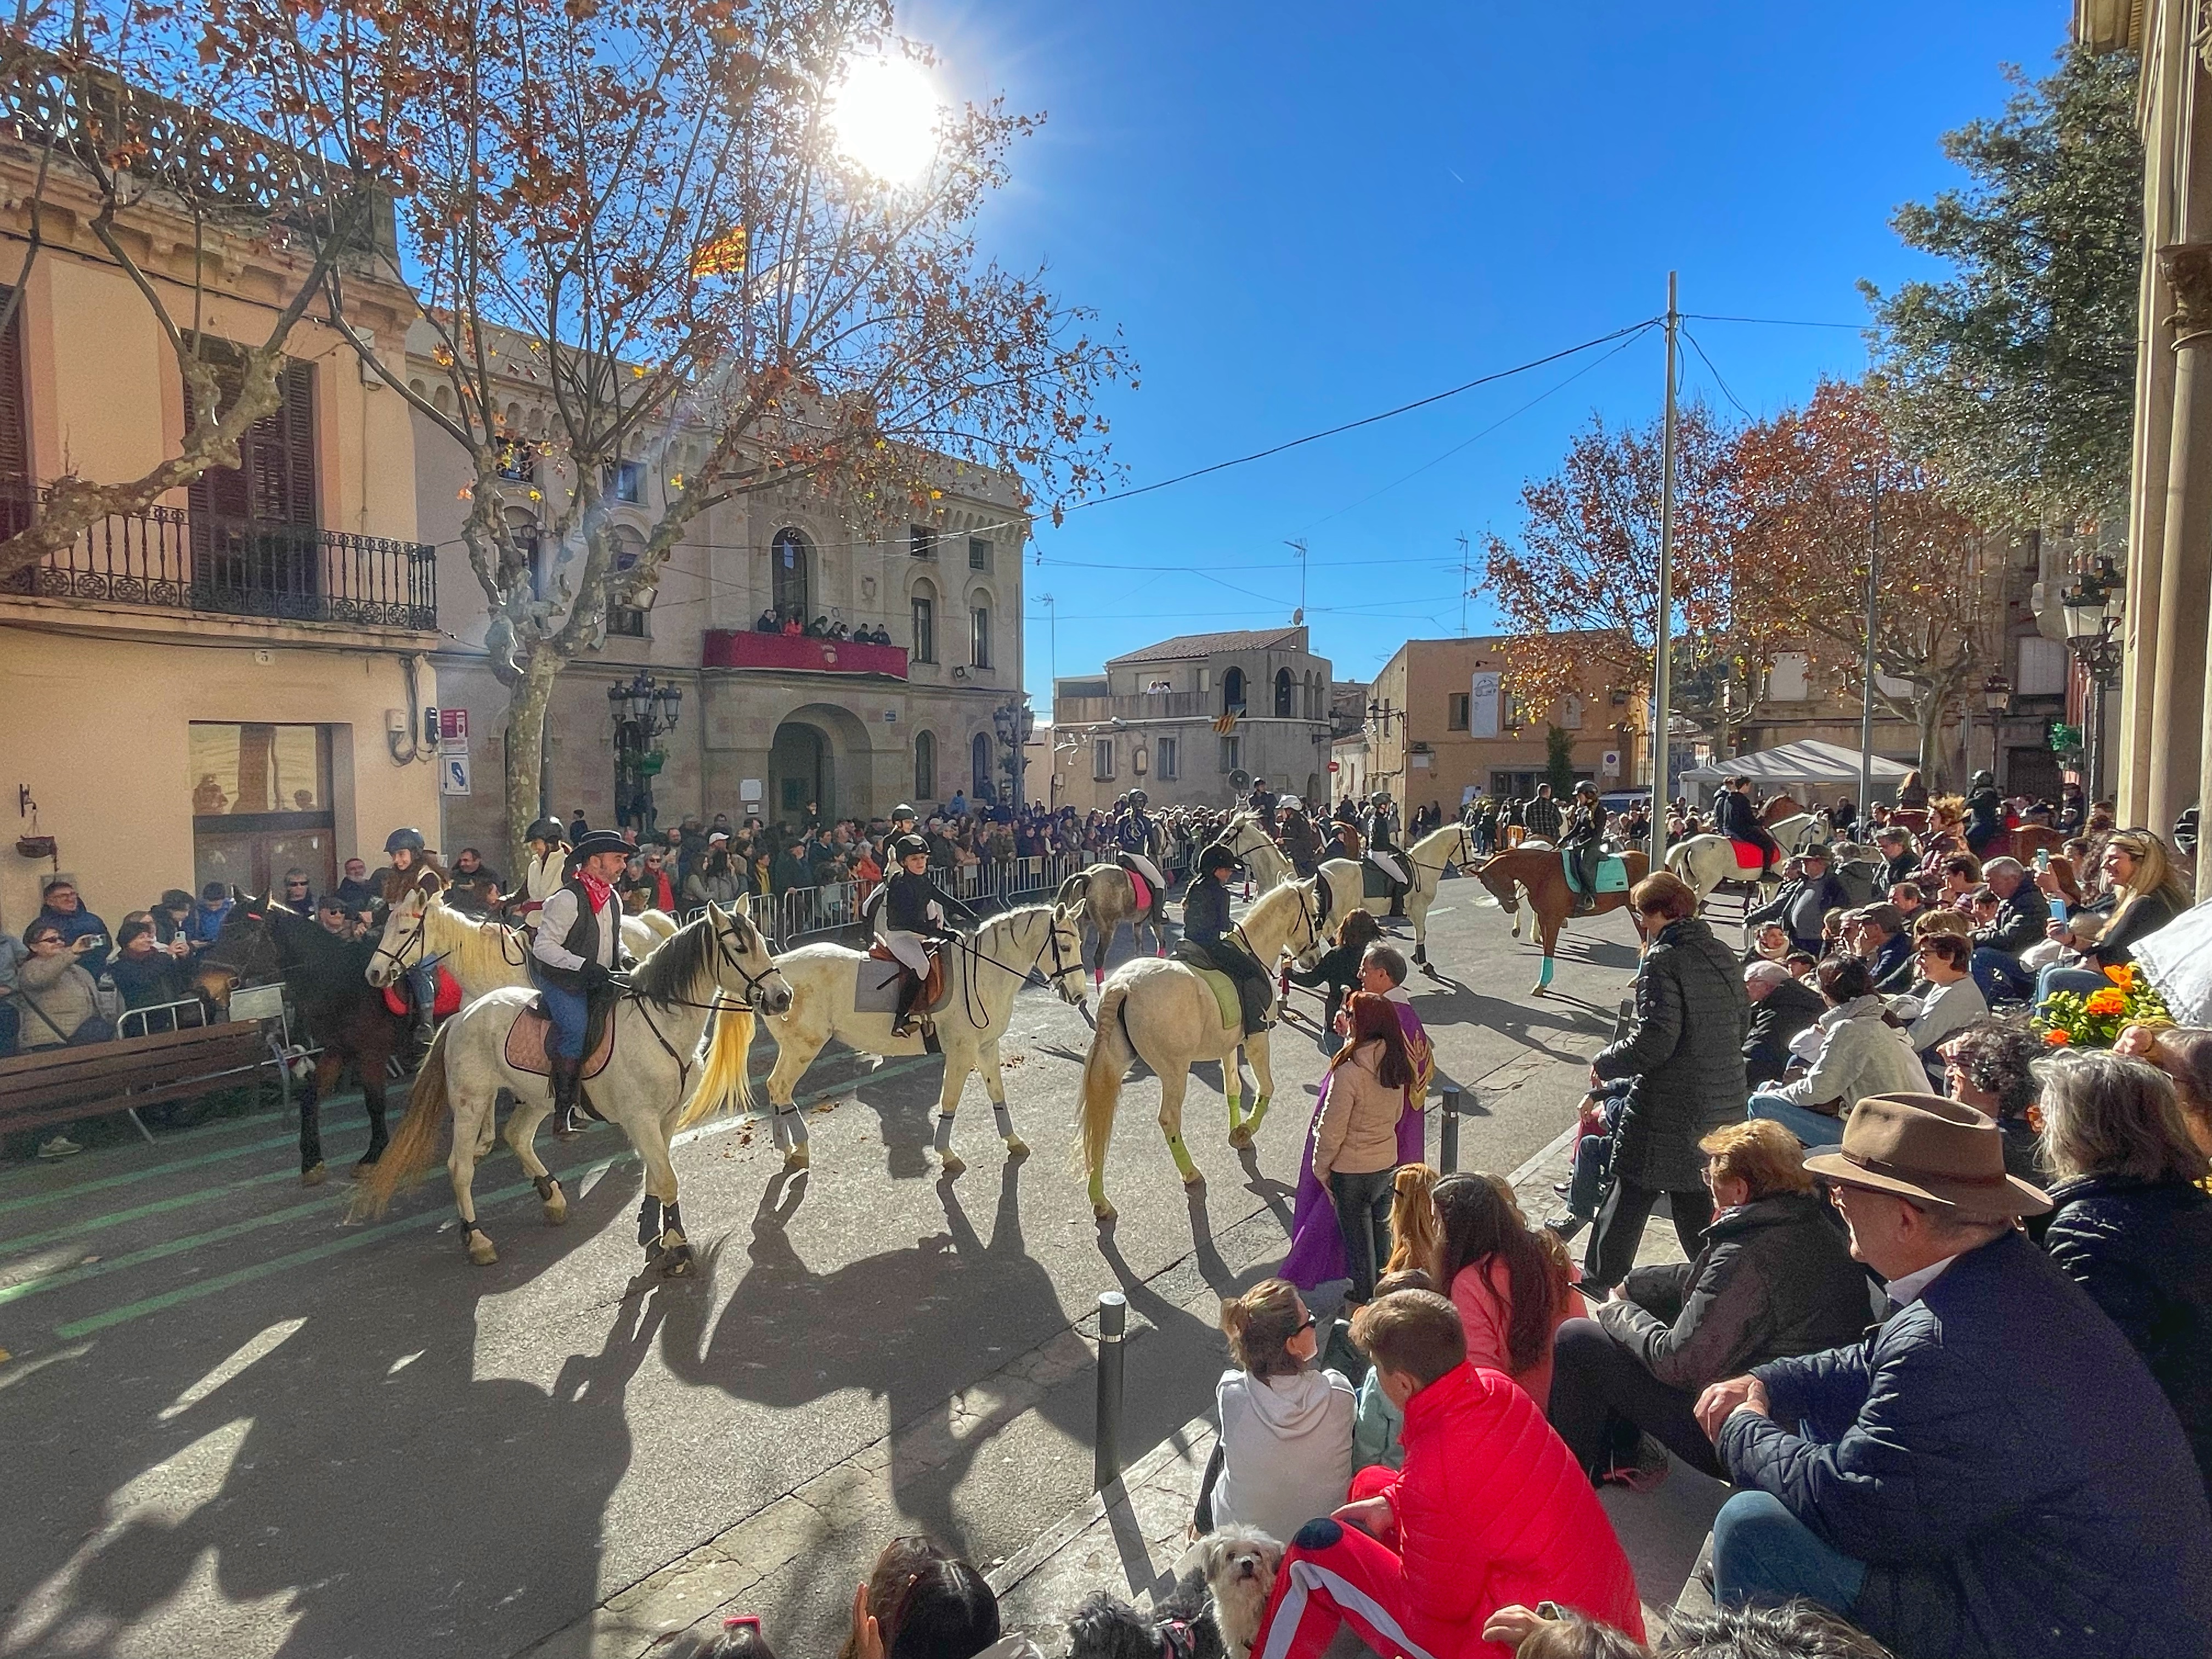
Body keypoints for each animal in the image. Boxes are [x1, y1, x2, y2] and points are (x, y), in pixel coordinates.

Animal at [363, 911, 805, 1274]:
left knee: (517, 1136)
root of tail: (460, 1017)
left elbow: (657, 1173)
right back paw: (478, 1239)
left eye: (762, 941)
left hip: (537, 1098)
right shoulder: (641, 1118)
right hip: (471, 1102)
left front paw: (656, 1229)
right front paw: (677, 1248)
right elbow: (666, 1177)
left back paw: (552, 1197)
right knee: (461, 1168)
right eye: (740, 948)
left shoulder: (666, 1116)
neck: (659, 1023)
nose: (782, 996)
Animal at [756, 902, 1092, 1177]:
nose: (1079, 996)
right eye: (1064, 946)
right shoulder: (962, 1051)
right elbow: (950, 1099)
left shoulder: (986, 1047)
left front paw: (1013, 1140)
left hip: (793, 1048)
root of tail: (776, 973)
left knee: (774, 1086)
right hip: (804, 1046)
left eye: (1079, 943)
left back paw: (786, 1147)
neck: (982, 972)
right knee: (782, 1087)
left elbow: (997, 1092)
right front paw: (947, 1154)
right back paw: (800, 1148)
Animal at [1075, 884, 1327, 1221]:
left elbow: (1233, 1088)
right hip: (1174, 1070)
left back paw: (1100, 1201)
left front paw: (1237, 1132)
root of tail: (1123, 985)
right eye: (1313, 914)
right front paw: (1245, 1132)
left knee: (1100, 1128)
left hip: (1115, 1066)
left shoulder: (1230, 1046)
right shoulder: (1257, 1040)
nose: (1314, 958)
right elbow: (1267, 1087)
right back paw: (1191, 1173)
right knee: (1169, 1119)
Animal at [1477, 849, 1654, 995]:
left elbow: (1549, 950)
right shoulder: (1543, 917)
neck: (1542, 872)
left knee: (1646, 943)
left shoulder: (1553, 919)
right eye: (1487, 886)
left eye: (1493, 883)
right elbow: (1546, 948)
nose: (1511, 907)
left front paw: (1542, 984)